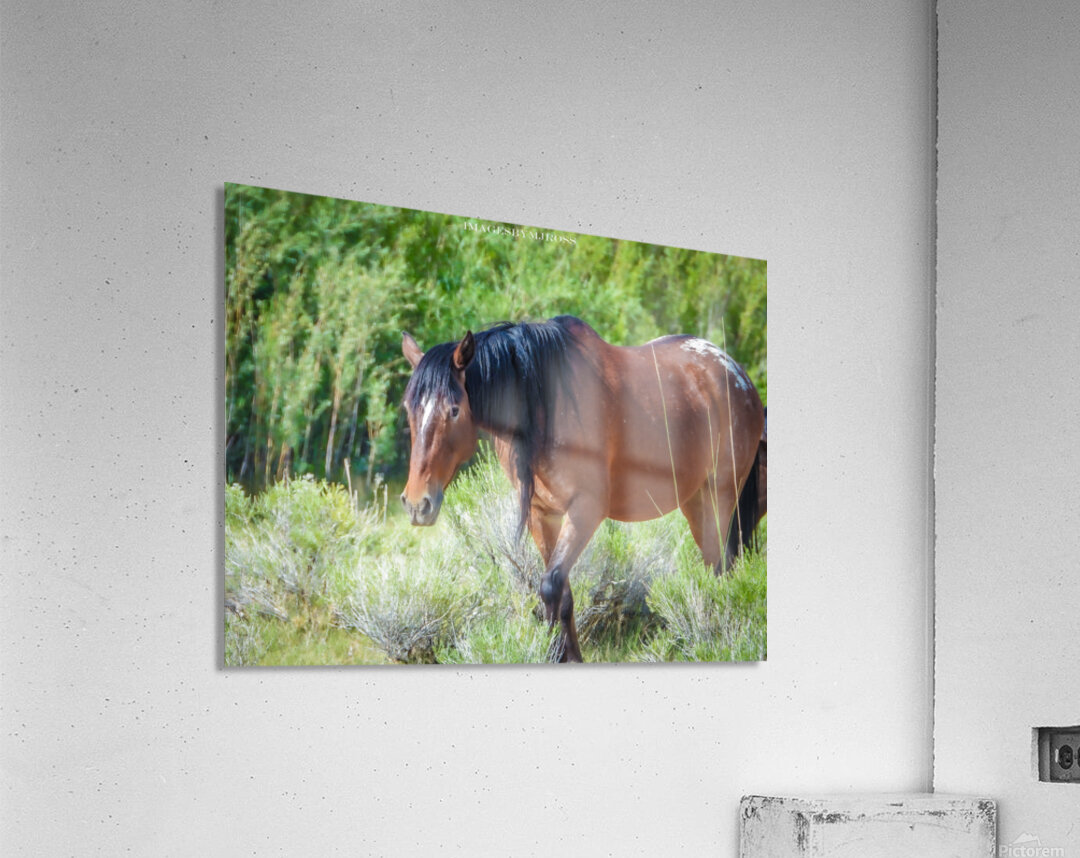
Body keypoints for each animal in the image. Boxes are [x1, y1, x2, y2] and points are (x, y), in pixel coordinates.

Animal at [400, 315, 765, 663]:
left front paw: (556, 655)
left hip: (721, 495)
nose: (417, 504)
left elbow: (550, 586)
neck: (545, 406)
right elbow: (562, 592)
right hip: (695, 502)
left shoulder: (586, 509)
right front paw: (569, 656)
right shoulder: (542, 514)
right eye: (409, 409)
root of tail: (737, 375)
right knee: (713, 566)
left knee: (721, 568)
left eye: (454, 409)